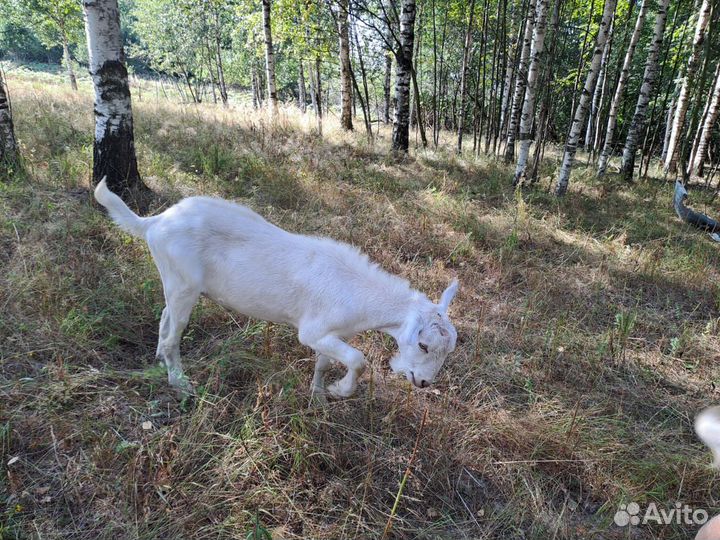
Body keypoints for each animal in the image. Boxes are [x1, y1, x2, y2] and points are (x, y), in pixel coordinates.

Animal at [94, 179, 459, 398]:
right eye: (423, 345)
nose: (423, 382)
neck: (360, 294)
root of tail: (155, 222)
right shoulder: (312, 331)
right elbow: (358, 359)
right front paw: (339, 390)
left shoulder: (332, 334)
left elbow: (324, 361)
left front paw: (317, 394)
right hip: (183, 282)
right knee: (175, 332)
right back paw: (180, 384)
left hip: (175, 281)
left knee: (165, 316)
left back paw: (160, 361)